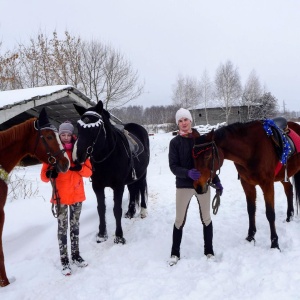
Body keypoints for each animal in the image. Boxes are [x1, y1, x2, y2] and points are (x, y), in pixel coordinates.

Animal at [72, 101, 150, 244]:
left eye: (95, 128)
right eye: (78, 127)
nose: (77, 156)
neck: (108, 158)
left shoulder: (118, 186)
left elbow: (116, 210)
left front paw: (119, 237)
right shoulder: (97, 186)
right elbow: (101, 209)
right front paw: (102, 235)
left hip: (142, 174)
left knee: (141, 188)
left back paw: (143, 211)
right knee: (132, 191)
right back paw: (130, 212)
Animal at [191, 120, 300, 251]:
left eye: (207, 156)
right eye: (193, 158)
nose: (198, 186)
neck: (251, 150)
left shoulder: (267, 184)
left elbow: (270, 214)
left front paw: (275, 243)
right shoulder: (247, 185)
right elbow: (251, 210)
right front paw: (250, 236)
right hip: (283, 175)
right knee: (289, 190)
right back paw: (289, 217)